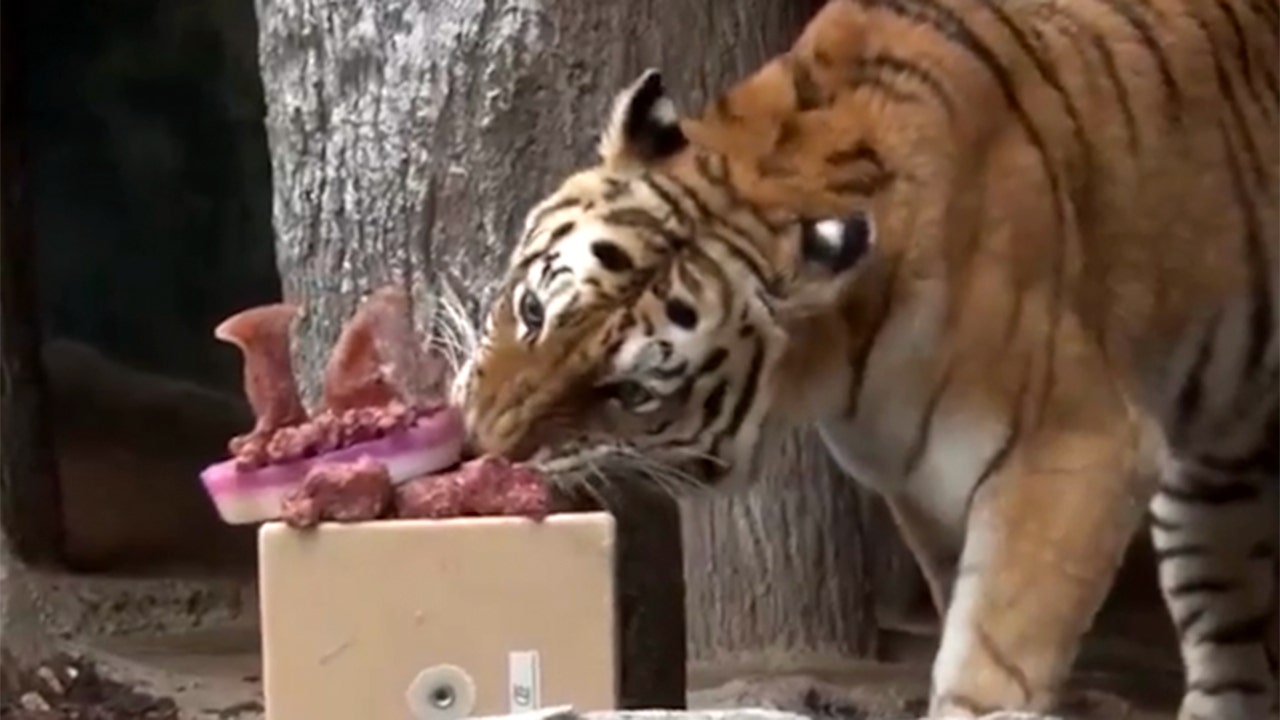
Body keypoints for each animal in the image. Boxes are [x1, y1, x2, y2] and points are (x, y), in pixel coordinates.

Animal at [449, 0, 1279, 717]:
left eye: (629, 392)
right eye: (533, 311)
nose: (487, 442)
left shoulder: (1079, 448)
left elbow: (991, 660)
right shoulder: (928, 490)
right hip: (1216, 477)